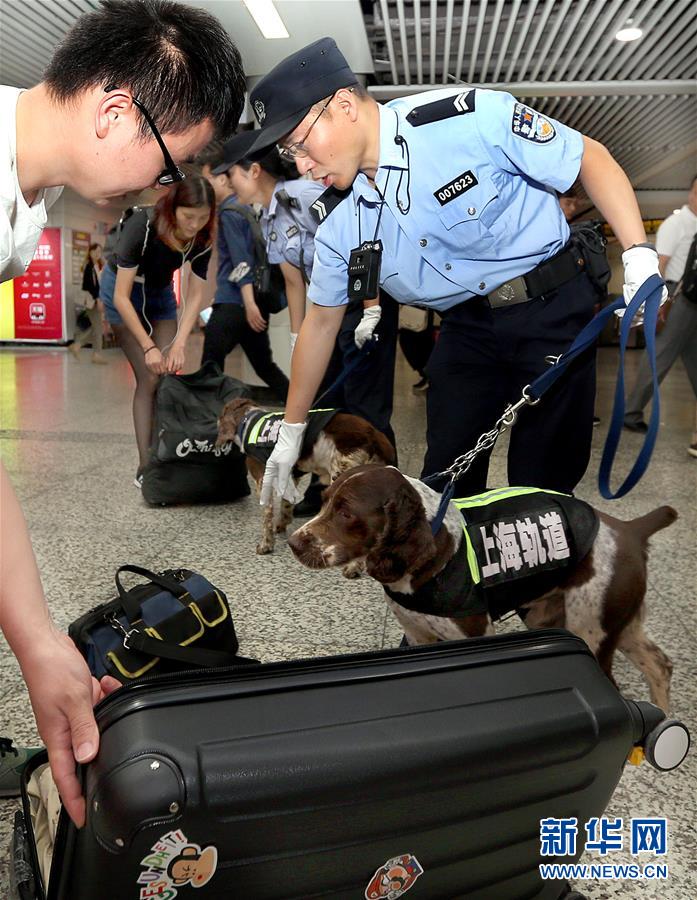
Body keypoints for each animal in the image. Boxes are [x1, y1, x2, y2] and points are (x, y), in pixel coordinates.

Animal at [215, 400, 394, 556]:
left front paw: (266, 545)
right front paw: (282, 524)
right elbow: (286, 504)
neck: (248, 420)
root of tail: (375, 436)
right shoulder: (291, 474)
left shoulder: (261, 477)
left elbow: (267, 517)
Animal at [286, 464, 676, 712]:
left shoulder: (474, 636)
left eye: (347, 512)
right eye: (324, 500)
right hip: (592, 620)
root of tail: (629, 529)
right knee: (660, 663)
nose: (293, 543)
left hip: (592, 630)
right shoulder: (418, 634)